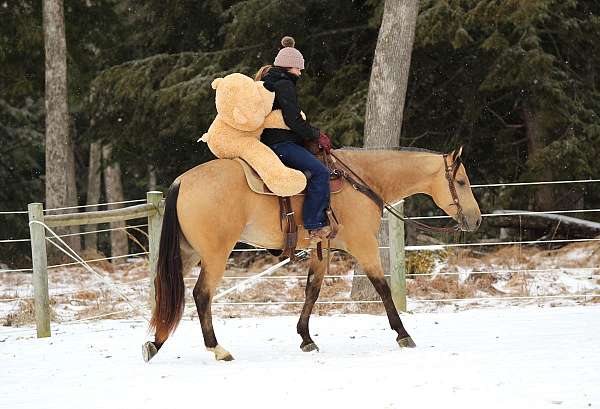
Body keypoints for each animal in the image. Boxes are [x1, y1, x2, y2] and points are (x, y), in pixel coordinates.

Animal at [144, 146, 482, 360]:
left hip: (187, 253)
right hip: (215, 254)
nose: (477, 220)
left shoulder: (322, 250)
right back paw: (217, 348)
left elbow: (312, 290)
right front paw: (402, 334)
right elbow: (382, 288)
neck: (362, 182)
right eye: (462, 181)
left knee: (168, 293)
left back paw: (155, 343)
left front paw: (305, 338)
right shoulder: (364, 245)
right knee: (201, 294)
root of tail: (182, 181)